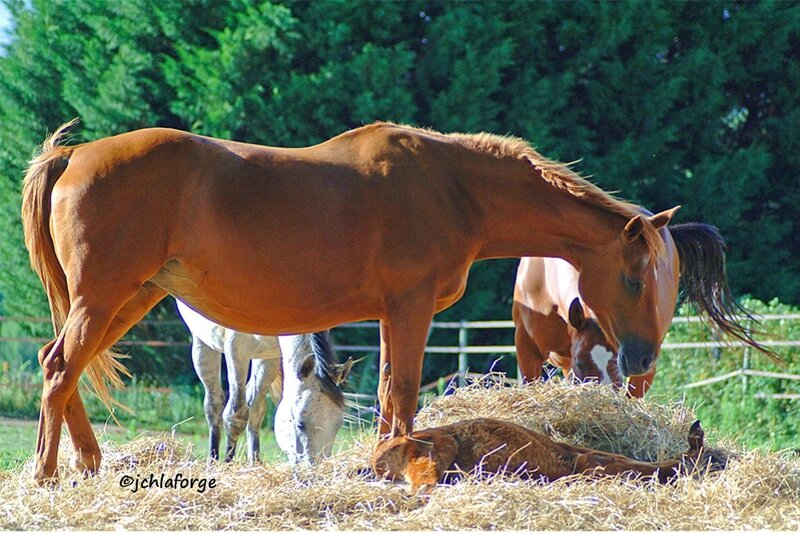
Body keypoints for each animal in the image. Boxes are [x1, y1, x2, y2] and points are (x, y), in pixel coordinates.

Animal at [23, 122, 676, 486]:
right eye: (635, 277)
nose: (643, 360)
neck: (453, 186)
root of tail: (75, 156)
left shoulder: (392, 315)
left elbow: (389, 396)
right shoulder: (410, 309)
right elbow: (402, 393)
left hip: (125, 300)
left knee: (63, 366)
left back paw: (88, 464)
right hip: (105, 299)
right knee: (59, 369)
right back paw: (47, 473)